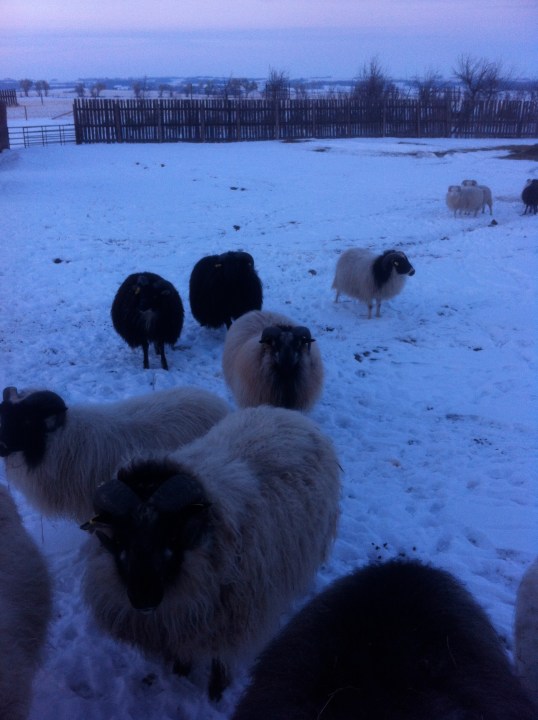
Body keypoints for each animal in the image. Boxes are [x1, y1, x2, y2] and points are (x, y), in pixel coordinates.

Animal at [80, 405, 341, 700]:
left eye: (171, 534)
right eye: (120, 537)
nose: (143, 598)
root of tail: (285, 413)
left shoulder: (231, 624)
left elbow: (220, 664)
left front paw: (216, 694)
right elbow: (183, 659)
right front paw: (180, 675)